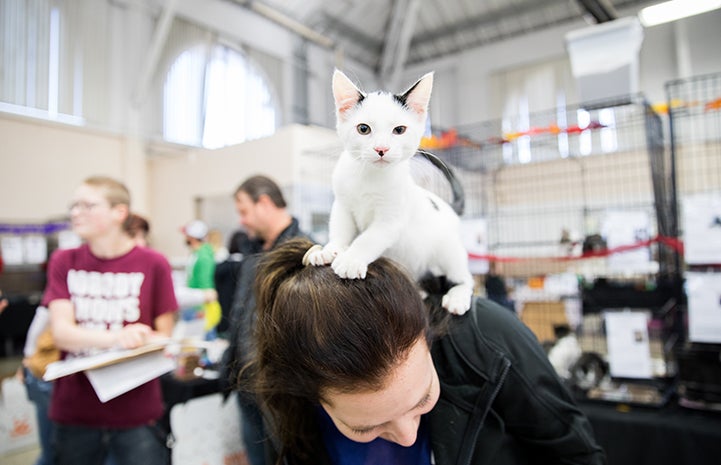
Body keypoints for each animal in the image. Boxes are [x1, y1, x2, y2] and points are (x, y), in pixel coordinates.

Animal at [308, 69, 472, 316]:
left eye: (399, 130)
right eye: (363, 129)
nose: (381, 149)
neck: (369, 177)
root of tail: (448, 207)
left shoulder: (391, 219)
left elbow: (369, 238)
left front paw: (351, 259)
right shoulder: (342, 205)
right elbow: (341, 228)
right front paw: (331, 249)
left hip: (449, 250)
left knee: (465, 277)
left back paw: (457, 296)